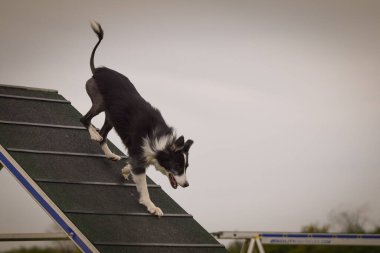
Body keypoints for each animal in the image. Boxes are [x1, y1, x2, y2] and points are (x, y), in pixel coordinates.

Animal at [80, 22, 193, 215]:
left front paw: (126, 170)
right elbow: (144, 186)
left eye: (186, 167)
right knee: (85, 120)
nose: (186, 185)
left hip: (111, 116)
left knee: (103, 135)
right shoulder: (140, 157)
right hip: (99, 101)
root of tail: (98, 71)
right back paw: (93, 134)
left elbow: (132, 166)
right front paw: (151, 206)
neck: (161, 145)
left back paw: (110, 153)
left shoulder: (140, 156)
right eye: (178, 166)